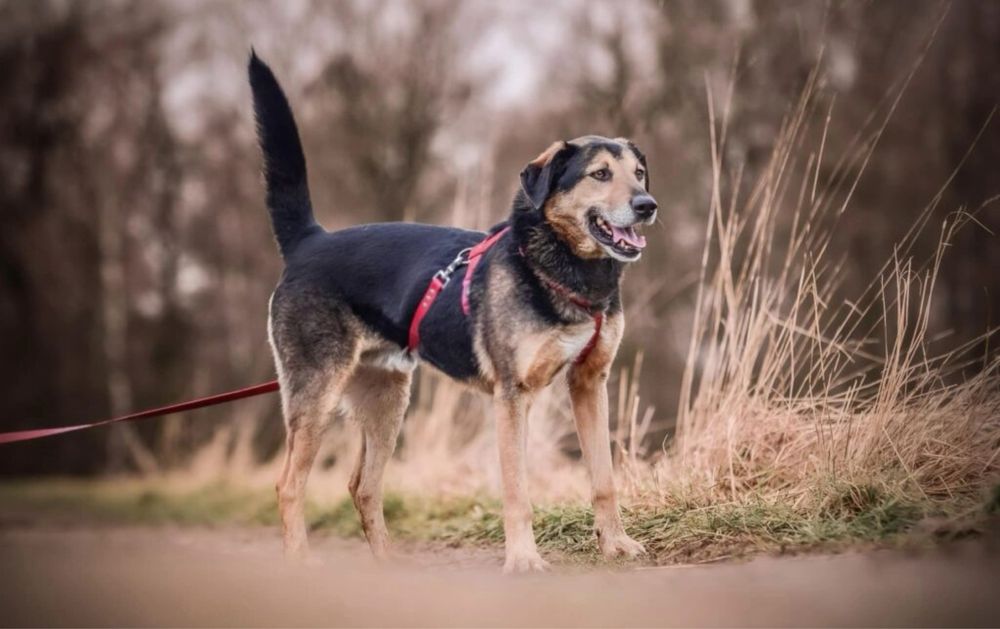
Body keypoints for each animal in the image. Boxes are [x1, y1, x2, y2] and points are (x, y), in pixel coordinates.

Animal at [248, 52, 656, 576]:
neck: (566, 268)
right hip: (317, 395)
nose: (647, 205)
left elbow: (604, 480)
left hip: (387, 401)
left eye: (639, 173)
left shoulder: (589, 383)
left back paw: (388, 565)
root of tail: (309, 241)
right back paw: (301, 562)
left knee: (363, 486)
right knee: (289, 485)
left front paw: (616, 544)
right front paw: (524, 559)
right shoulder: (513, 396)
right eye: (600, 175)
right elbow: (517, 492)